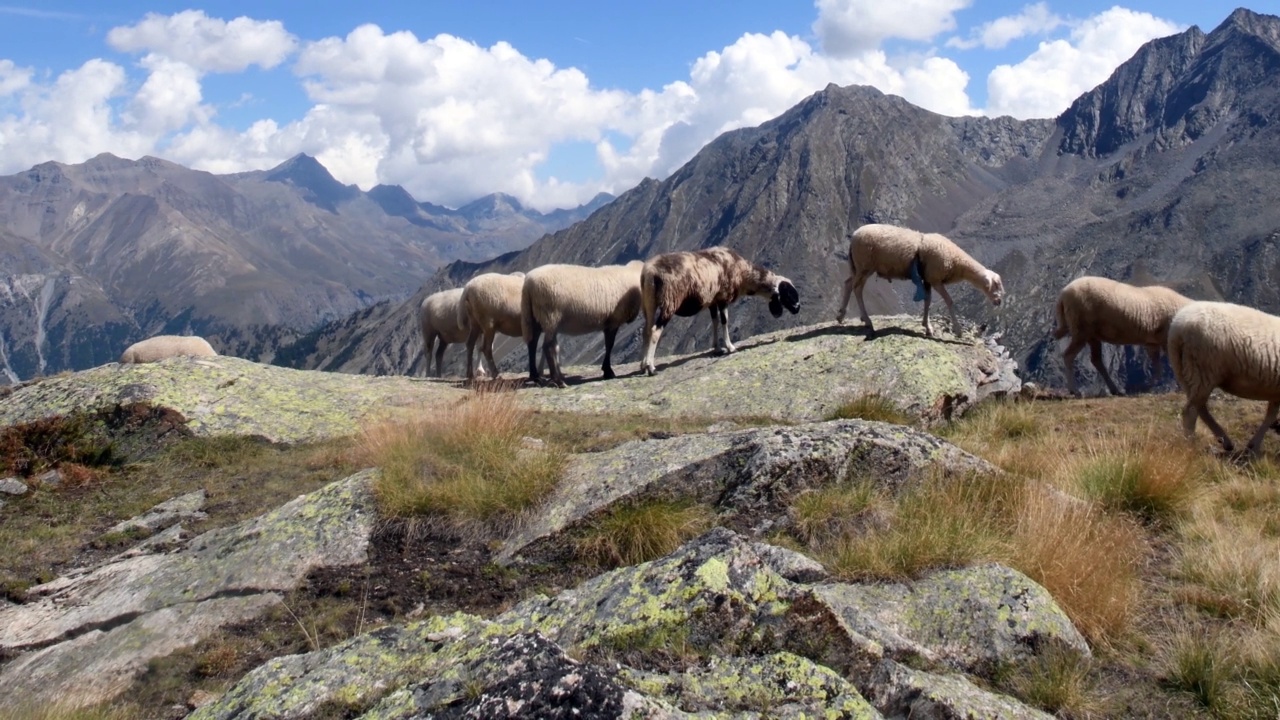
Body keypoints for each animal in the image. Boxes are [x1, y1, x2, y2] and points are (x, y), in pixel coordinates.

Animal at [517, 260, 645, 386]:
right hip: (550, 316)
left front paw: (606, 370)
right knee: (547, 346)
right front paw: (608, 371)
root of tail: (528, 284)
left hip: (534, 318)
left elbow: (608, 345)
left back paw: (536, 377)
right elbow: (609, 345)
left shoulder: (608, 323)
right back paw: (558, 381)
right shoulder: (613, 321)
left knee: (532, 344)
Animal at [640, 244, 798, 371]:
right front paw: (730, 347)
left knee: (646, 330)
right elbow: (724, 321)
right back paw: (651, 367)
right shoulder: (723, 298)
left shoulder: (712, 301)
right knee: (655, 330)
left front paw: (716, 348)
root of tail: (650, 272)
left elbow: (715, 322)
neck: (744, 275)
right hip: (669, 302)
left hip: (649, 303)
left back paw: (642, 365)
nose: (797, 308)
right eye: (789, 294)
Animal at [834, 222, 1003, 338]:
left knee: (849, 284)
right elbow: (949, 301)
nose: (999, 301)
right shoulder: (935, 279)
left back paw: (844, 316)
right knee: (856, 288)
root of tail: (854, 236)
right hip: (864, 265)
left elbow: (927, 300)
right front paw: (958, 330)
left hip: (859, 267)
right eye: (995, 285)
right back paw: (865, 320)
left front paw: (927, 327)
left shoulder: (927, 279)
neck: (956, 262)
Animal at [1049, 275, 1187, 397]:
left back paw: (1114, 390)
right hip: (1081, 329)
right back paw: (1075, 391)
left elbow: (1158, 369)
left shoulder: (1152, 343)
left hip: (1092, 335)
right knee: (1068, 356)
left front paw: (1147, 388)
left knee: (1096, 360)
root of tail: (1063, 295)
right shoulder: (1166, 341)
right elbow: (1174, 366)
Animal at [1167, 299, 1280, 456]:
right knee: (1191, 411)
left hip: (1185, 372)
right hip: (1202, 370)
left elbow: (1270, 415)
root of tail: (1177, 327)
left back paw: (1225, 441)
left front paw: (1253, 446)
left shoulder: (1275, 392)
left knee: (1200, 408)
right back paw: (1190, 446)